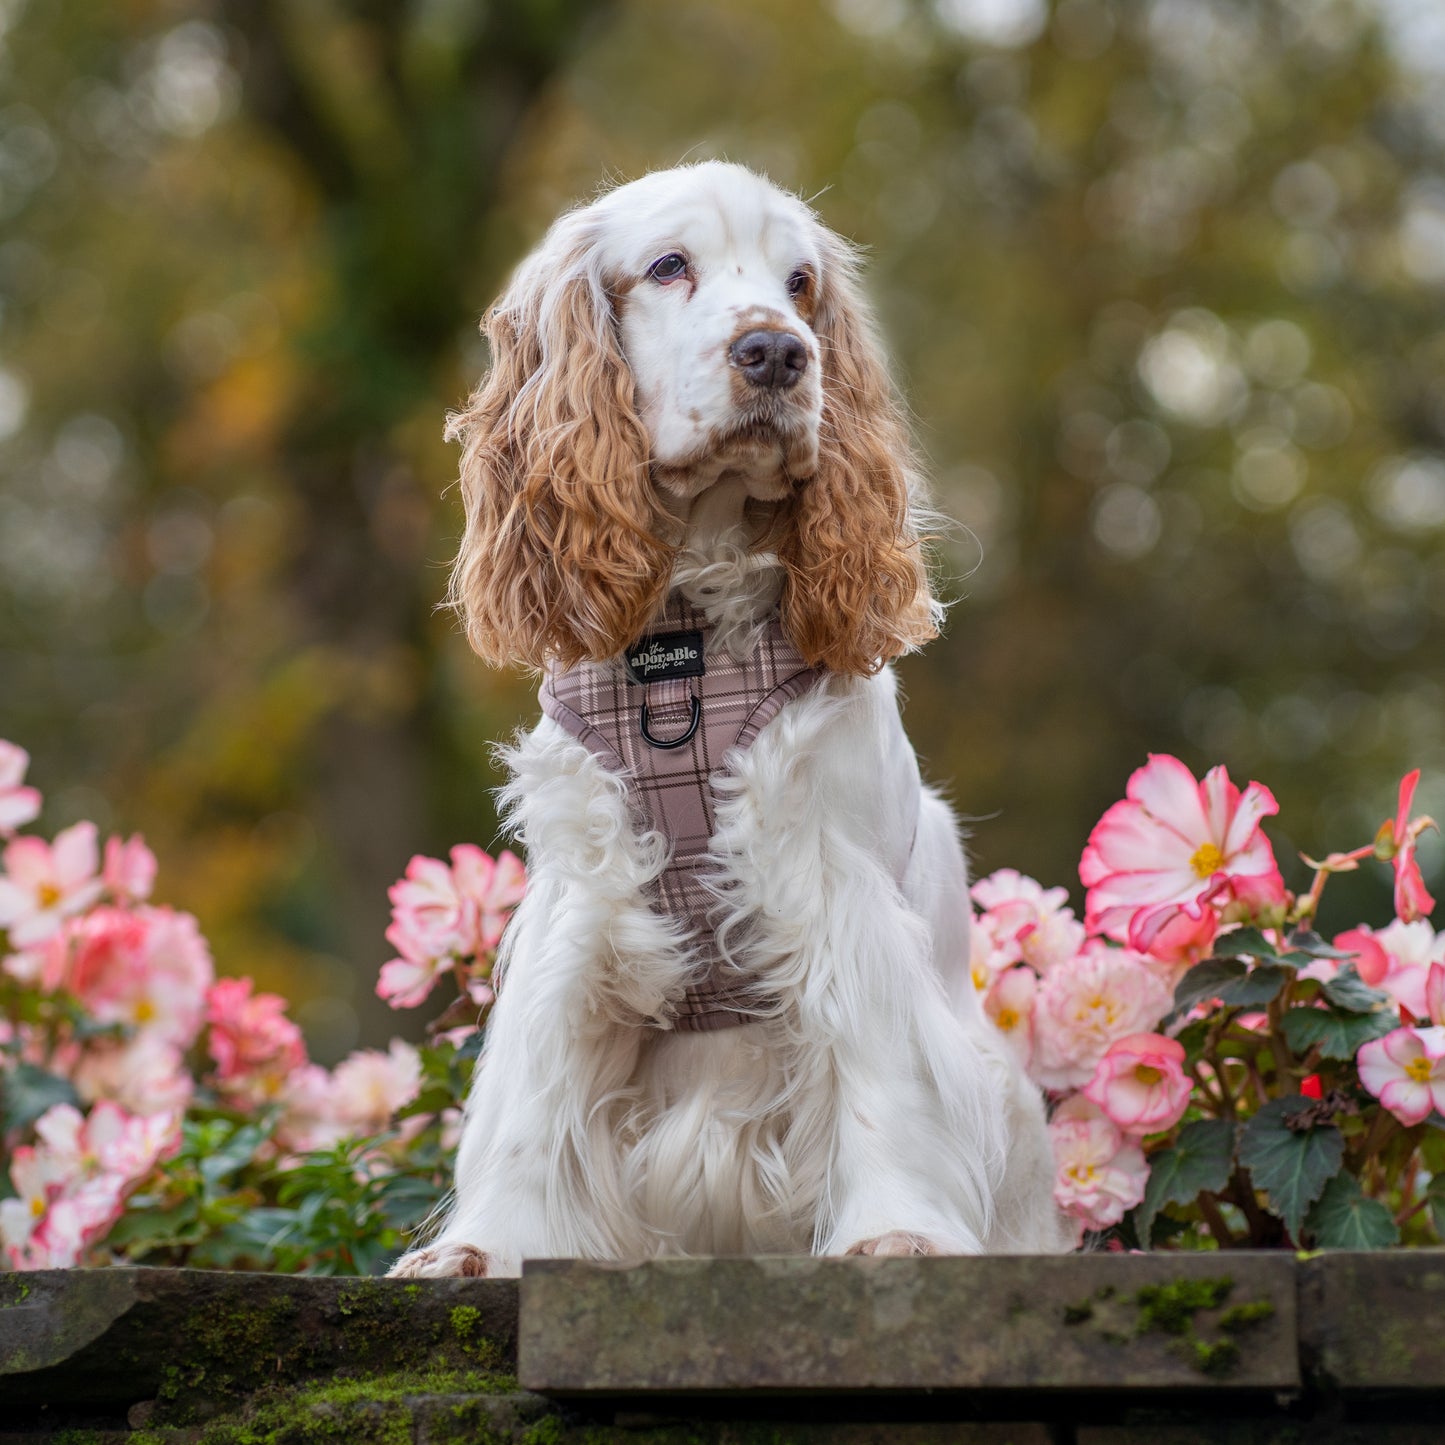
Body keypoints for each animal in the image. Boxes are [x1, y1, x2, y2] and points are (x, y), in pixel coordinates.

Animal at [390, 164, 1069, 1283]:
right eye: (669, 266)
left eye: (800, 285)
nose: (778, 352)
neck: (685, 647)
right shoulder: (581, 902)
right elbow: (533, 1095)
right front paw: (483, 1244)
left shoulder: (833, 879)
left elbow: (878, 1072)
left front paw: (896, 1230)